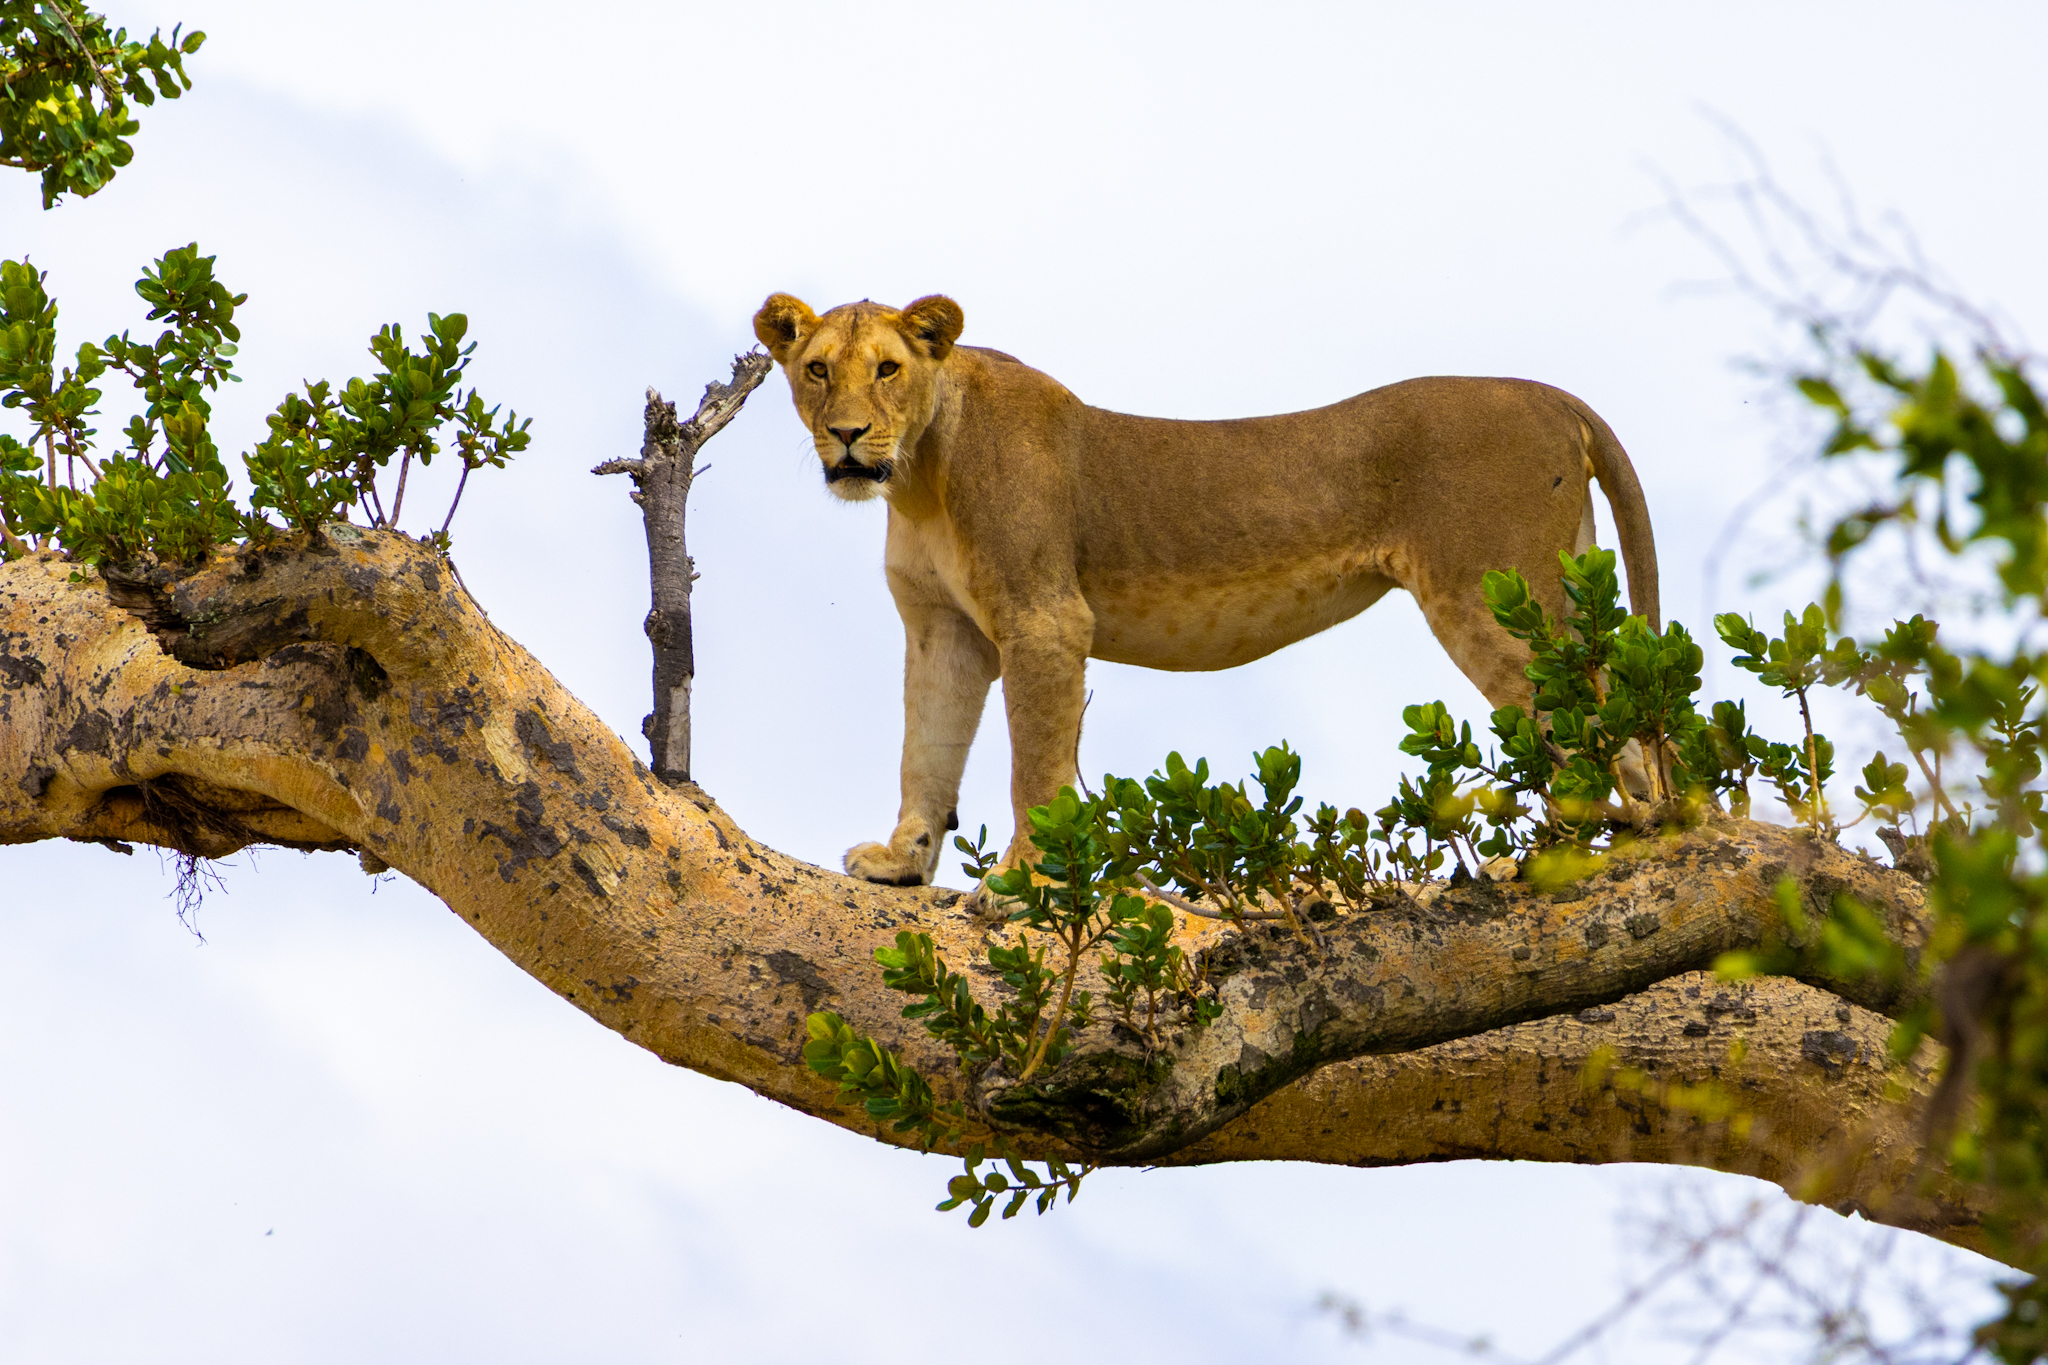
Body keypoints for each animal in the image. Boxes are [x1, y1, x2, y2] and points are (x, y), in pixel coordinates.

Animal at [752, 292, 1659, 890]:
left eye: (888, 369)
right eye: (816, 370)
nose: (846, 435)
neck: (919, 478)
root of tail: (1550, 395)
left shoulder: (1046, 619)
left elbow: (1034, 767)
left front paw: (1028, 882)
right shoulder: (944, 628)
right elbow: (926, 750)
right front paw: (899, 861)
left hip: (1491, 597)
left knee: (1591, 736)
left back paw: (1541, 860)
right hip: (1557, 588)